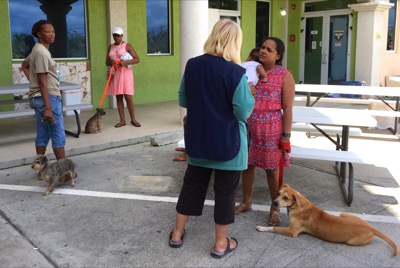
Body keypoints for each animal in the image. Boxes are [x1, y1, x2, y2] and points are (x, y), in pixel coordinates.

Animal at [256, 183, 396, 256]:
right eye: (278, 194)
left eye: (285, 198)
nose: (274, 202)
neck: (297, 205)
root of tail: (370, 228)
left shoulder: (292, 232)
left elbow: (274, 228)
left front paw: (261, 227)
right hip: (343, 214)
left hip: (351, 241)